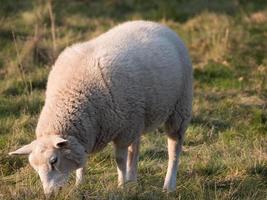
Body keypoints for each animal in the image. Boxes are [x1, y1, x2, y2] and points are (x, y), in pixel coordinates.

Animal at [7, 20, 193, 197]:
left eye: (54, 161)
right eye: (35, 168)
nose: (49, 194)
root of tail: (157, 24)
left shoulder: (123, 130)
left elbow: (119, 160)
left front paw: (121, 186)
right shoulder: (88, 132)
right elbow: (83, 163)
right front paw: (79, 184)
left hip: (179, 108)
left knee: (174, 149)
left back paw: (168, 186)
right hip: (139, 117)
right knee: (135, 150)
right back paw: (133, 182)